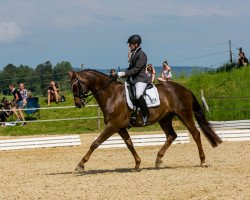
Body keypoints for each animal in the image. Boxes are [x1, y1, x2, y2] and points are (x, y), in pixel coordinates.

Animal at [68, 69, 223, 171]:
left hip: (184, 115)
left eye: (77, 85)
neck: (111, 95)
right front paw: (137, 164)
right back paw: (158, 160)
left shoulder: (113, 126)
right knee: (171, 136)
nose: (78, 104)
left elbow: (95, 143)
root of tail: (185, 89)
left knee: (195, 134)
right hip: (164, 119)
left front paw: (80, 164)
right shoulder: (120, 127)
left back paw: (202, 161)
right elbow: (129, 144)